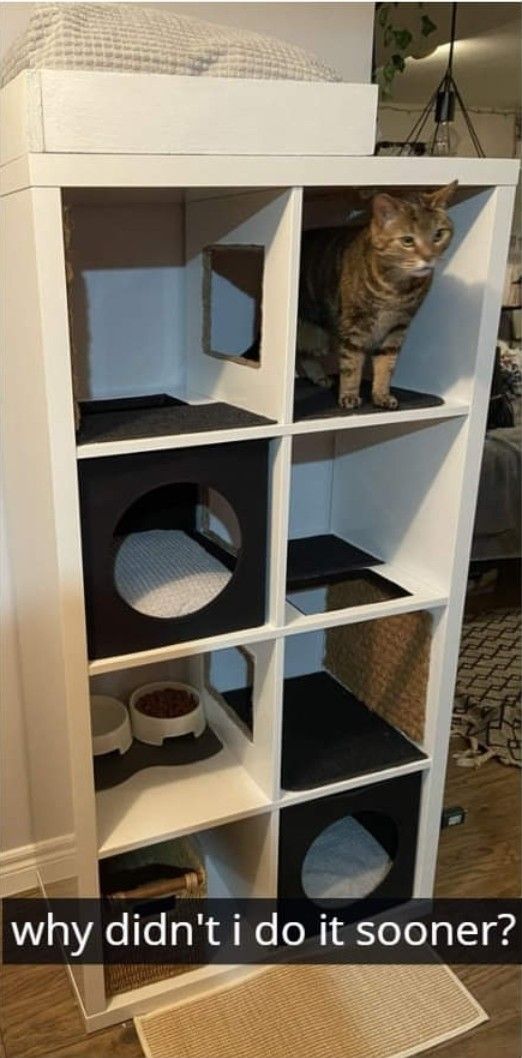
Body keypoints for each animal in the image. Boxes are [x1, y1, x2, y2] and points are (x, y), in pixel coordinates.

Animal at [296, 181, 455, 408]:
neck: (396, 290)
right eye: (408, 240)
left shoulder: (397, 327)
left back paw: (320, 376)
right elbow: (352, 364)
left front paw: (381, 394)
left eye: (439, 235)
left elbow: (386, 364)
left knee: (304, 354)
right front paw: (349, 396)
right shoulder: (355, 326)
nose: (429, 258)